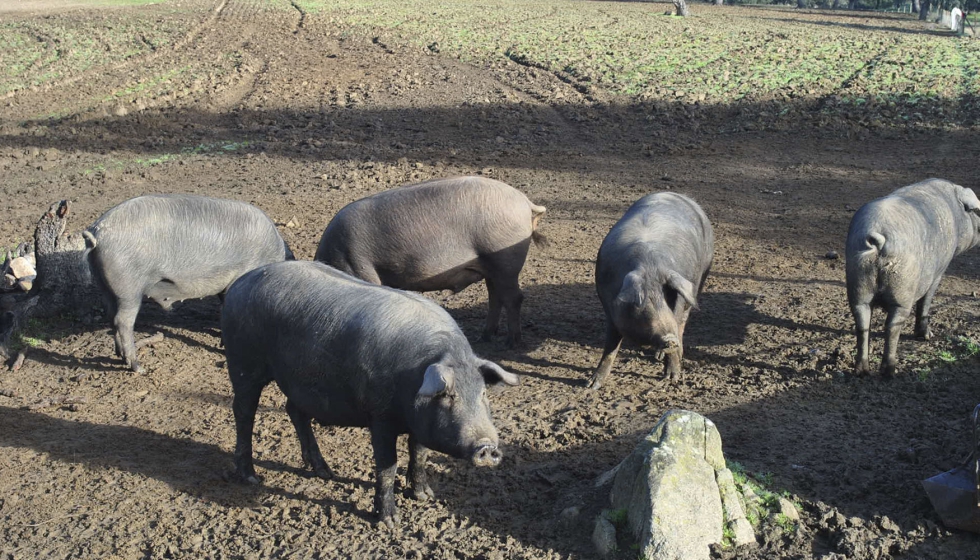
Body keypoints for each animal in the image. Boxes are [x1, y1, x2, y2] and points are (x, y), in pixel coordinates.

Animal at [83, 195, 290, 374]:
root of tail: (97, 232)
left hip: (105, 286)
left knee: (111, 317)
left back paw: (119, 356)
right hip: (129, 288)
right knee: (123, 321)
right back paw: (137, 367)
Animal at [218, 260, 516, 528]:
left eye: (483, 394)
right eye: (447, 395)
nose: (486, 446)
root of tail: (241, 282)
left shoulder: (419, 423)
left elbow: (419, 454)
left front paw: (424, 497)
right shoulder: (380, 416)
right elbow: (387, 466)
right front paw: (389, 523)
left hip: (297, 379)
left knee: (294, 411)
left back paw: (325, 472)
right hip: (243, 363)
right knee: (243, 412)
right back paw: (251, 477)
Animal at [584, 192, 716, 390]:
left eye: (668, 300)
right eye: (644, 304)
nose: (670, 339)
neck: (649, 266)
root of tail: (680, 195)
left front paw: (672, 379)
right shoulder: (610, 311)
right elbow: (610, 347)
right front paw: (591, 385)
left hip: (699, 280)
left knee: (683, 321)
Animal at [844, 179, 980, 378]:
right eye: (977, 212)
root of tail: (879, 237)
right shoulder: (938, 272)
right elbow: (926, 301)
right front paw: (926, 336)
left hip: (858, 288)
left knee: (862, 324)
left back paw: (862, 371)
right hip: (902, 291)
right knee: (892, 326)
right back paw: (890, 372)